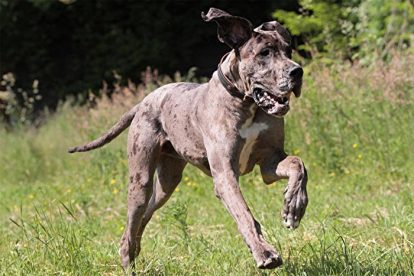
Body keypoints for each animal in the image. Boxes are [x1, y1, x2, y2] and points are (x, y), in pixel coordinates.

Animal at [68, 7, 308, 270]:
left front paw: (294, 207)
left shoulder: (270, 161)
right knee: (132, 220)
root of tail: (145, 101)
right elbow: (244, 213)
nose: (298, 71)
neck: (246, 104)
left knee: (146, 213)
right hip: (140, 180)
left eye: (289, 50)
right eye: (265, 53)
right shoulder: (225, 175)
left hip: (167, 182)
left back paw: (136, 249)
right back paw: (127, 259)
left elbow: (298, 165)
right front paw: (264, 252)